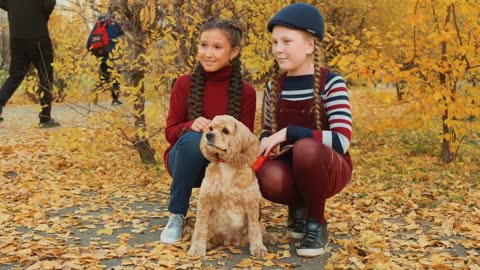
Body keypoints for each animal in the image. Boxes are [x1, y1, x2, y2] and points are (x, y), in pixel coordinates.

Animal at [188, 115, 268, 258]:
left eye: (225, 131)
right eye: (210, 128)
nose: (208, 135)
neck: (226, 164)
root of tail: (228, 242)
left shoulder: (252, 204)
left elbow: (254, 230)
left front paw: (258, 248)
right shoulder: (204, 201)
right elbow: (200, 228)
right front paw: (197, 249)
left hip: (260, 223)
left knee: (260, 230)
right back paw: (208, 244)